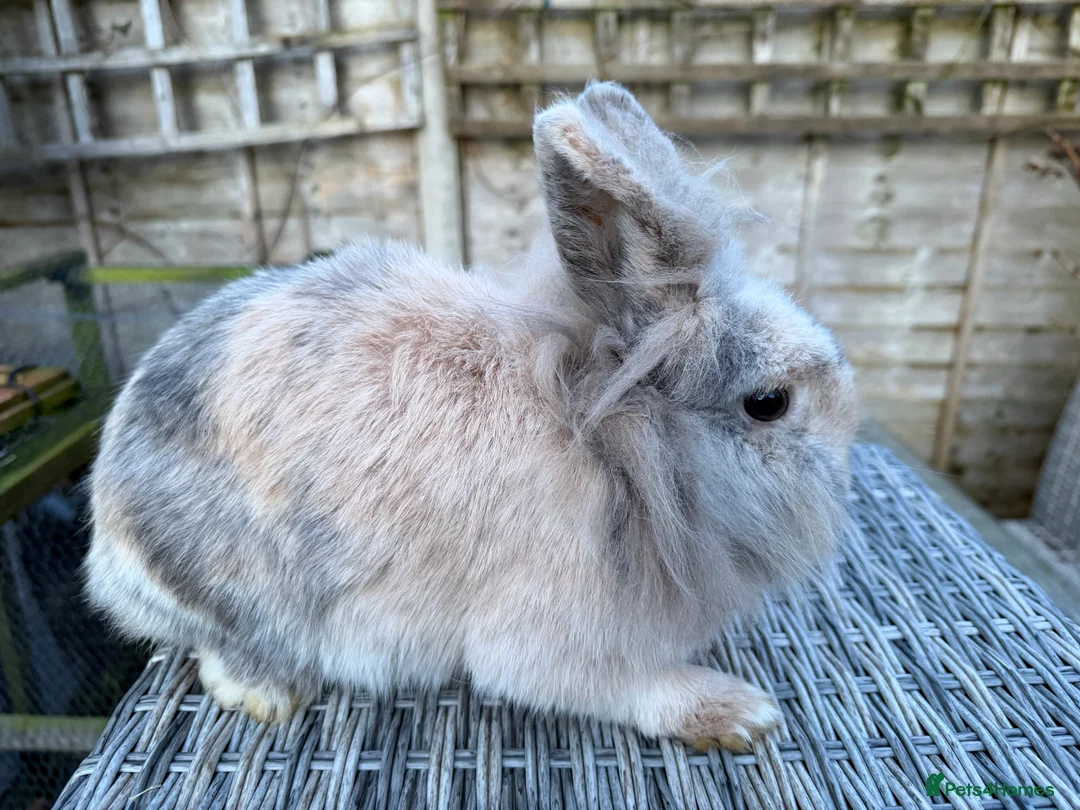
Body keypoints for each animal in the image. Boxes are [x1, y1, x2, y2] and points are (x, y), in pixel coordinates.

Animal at [85, 83, 857, 752]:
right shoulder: (550, 638)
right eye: (769, 403)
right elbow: (626, 687)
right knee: (214, 646)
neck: (618, 443)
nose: (847, 459)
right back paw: (266, 693)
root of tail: (105, 532)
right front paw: (740, 713)